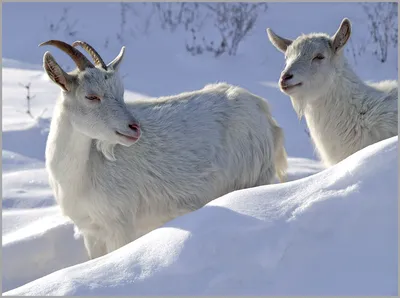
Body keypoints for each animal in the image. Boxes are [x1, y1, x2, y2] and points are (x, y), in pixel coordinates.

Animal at [39, 39, 288, 258]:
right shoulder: (91, 232)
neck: (82, 172)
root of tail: (261, 108)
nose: (134, 128)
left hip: (252, 177)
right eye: (91, 96)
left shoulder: (120, 225)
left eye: (121, 93)